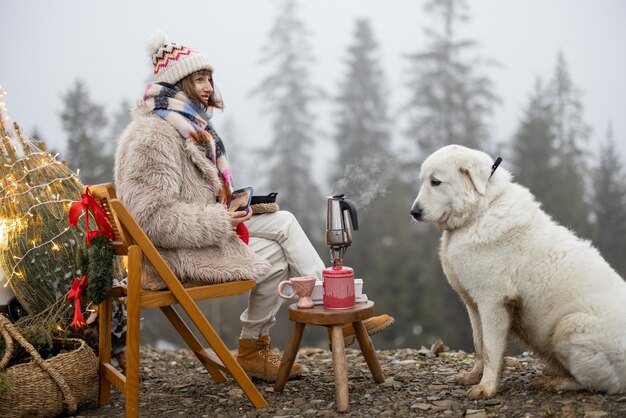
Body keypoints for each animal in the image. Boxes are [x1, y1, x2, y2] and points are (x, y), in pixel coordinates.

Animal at [410, 145, 624, 400]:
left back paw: (554, 382)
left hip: (570, 325)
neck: (481, 211)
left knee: (597, 383)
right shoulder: (473, 304)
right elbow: (479, 344)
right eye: (423, 181)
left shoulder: (493, 302)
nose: (413, 212)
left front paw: (487, 387)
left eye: (436, 182)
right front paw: (473, 376)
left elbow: (490, 349)